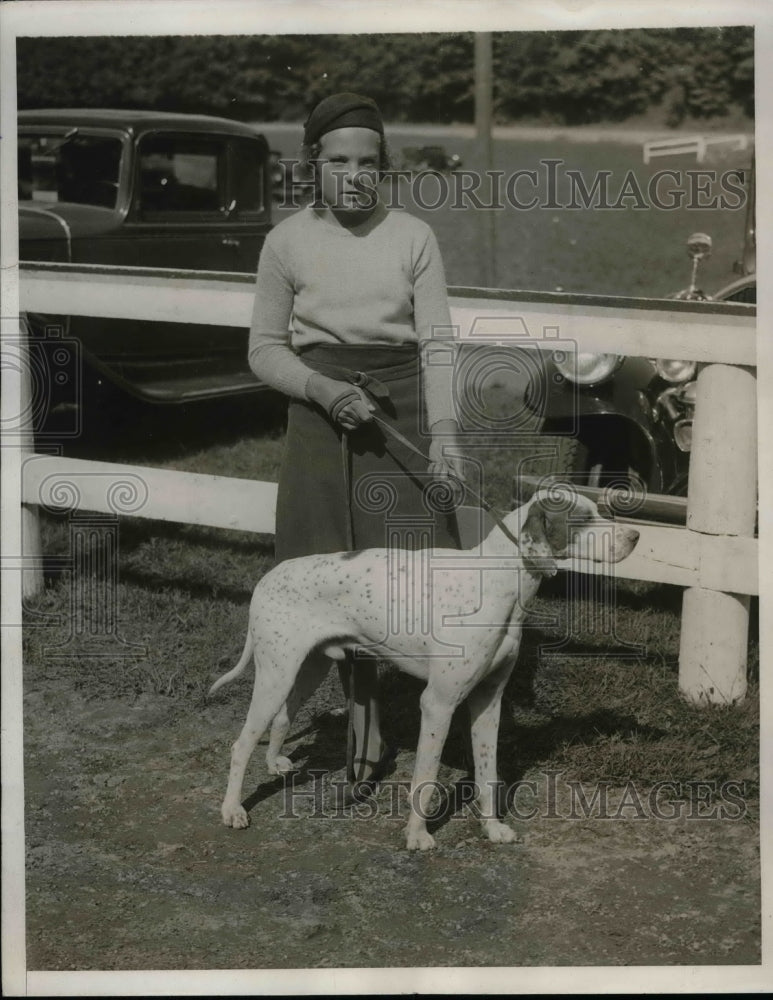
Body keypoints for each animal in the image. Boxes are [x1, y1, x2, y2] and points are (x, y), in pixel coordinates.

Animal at [208, 488, 636, 848]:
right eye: (582, 519)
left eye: (600, 511)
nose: (635, 536)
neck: (498, 580)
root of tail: (267, 577)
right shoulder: (437, 704)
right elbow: (425, 778)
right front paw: (417, 835)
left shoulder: (488, 703)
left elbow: (487, 774)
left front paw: (492, 828)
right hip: (275, 676)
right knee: (241, 745)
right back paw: (232, 809)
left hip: (306, 669)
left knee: (282, 717)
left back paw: (274, 763)